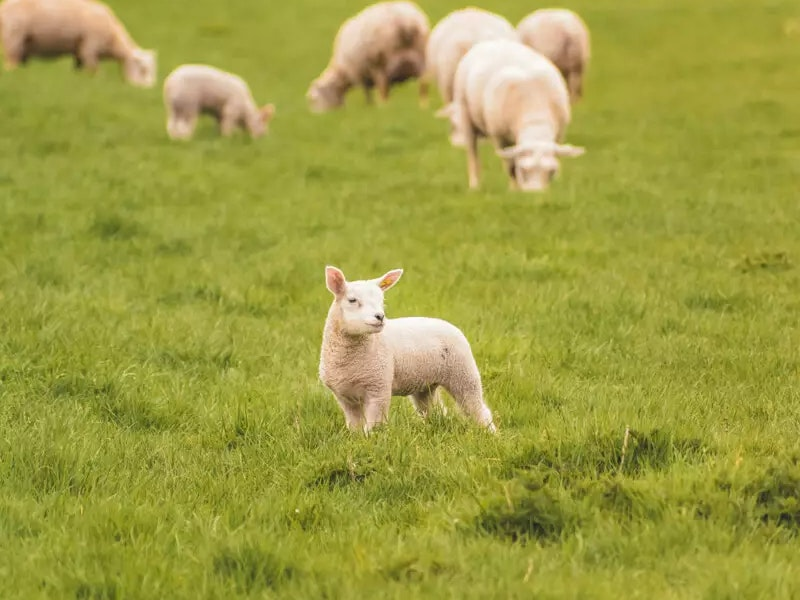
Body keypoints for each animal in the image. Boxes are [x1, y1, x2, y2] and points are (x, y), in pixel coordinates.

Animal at [0, 0, 156, 88]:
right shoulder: (90, 47)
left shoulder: (80, 52)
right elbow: (95, 71)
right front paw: (98, 82)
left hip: (21, 45)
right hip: (13, 38)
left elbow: (78, 69)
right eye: (143, 69)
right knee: (10, 65)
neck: (113, 40)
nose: (149, 90)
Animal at [319, 266, 495, 434]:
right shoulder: (344, 397)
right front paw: (358, 439)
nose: (380, 317)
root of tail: (448, 323)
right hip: (426, 385)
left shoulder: (379, 389)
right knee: (435, 410)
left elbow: (374, 425)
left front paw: (371, 439)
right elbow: (354, 426)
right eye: (352, 300)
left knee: (478, 409)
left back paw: (490, 433)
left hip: (464, 373)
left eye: (381, 300)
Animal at [451, 39, 585, 192]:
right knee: (472, 153)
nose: (535, 193)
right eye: (524, 170)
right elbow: (510, 165)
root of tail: (493, 41)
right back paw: (475, 185)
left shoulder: (559, 134)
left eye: (551, 171)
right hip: (465, 113)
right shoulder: (500, 137)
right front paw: (514, 189)